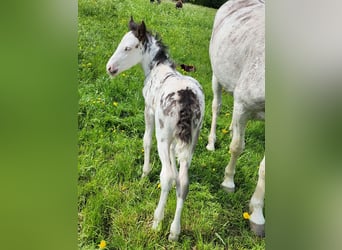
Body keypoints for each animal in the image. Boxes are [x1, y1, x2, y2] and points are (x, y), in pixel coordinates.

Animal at [105, 16, 204, 241]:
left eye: (127, 47)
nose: (109, 68)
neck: (156, 68)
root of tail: (187, 98)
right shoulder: (178, 139)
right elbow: (176, 165)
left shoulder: (148, 112)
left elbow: (146, 141)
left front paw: (144, 173)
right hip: (193, 138)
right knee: (183, 181)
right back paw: (174, 232)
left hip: (163, 135)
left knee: (166, 176)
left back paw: (157, 222)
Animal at [206, 0, 268, 236]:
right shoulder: (243, 104)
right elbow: (236, 147)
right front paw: (228, 183)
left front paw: (257, 215)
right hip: (217, 75)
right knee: (217, 106)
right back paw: (211, 142)